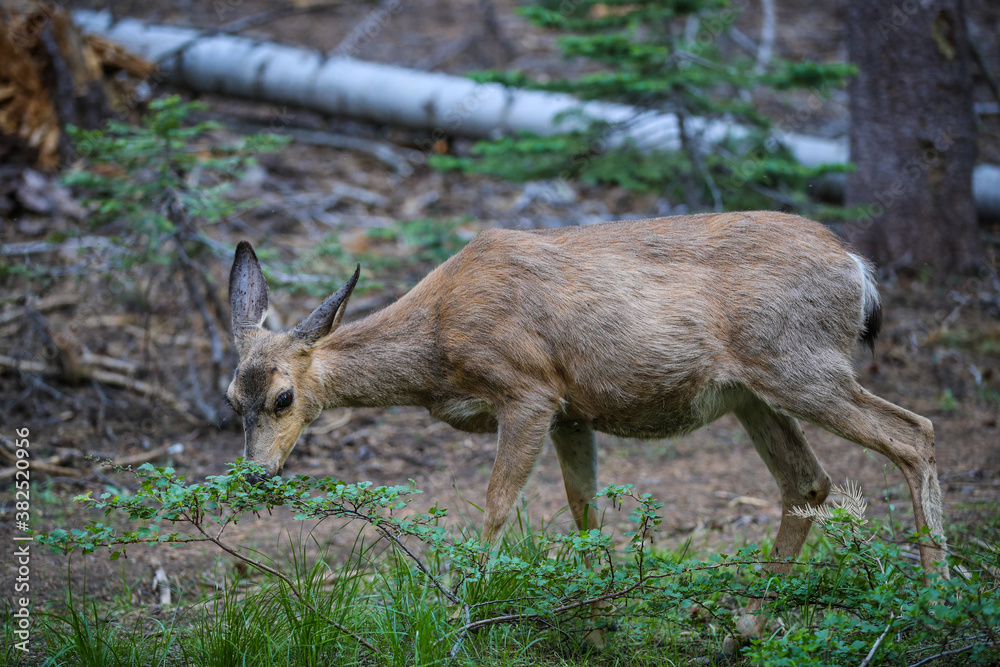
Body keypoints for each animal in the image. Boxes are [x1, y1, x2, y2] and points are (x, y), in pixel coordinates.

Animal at [225, 210, 944, 636]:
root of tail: (858, 270)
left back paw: (936, 596)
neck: (438, 343)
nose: (256, 473)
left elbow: (496, 505)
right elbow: (585, 510)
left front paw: (463, 613)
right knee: (808, 481)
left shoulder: (529, 390)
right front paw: (599, 619)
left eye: (284, 397)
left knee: (914, 433)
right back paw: (747, 621)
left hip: (799, 365)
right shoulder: (573, 412)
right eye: (232, 397)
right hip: (754, 393)